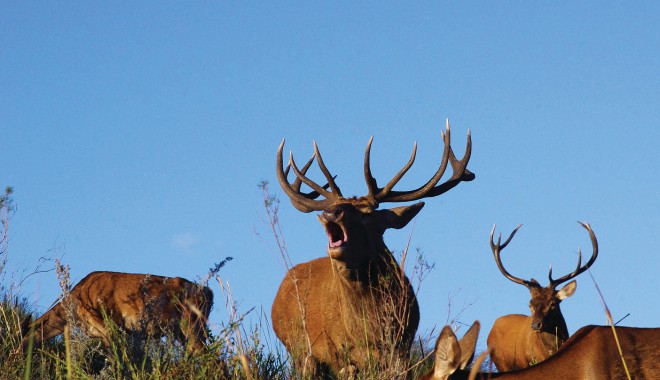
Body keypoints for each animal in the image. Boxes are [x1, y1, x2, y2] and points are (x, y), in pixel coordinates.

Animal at [21, 272, 213, 352]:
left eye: (22, 339)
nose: (17, 354)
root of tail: (209, 293)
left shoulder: (108, 328)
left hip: (192, 325)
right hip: (183, 332)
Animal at [270, 122, 476, 378]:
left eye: (366, 214)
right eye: (336, 206)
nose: (331, 212)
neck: (371, 332)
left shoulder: (403, 348)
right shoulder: (338, 354)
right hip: (300, 351)